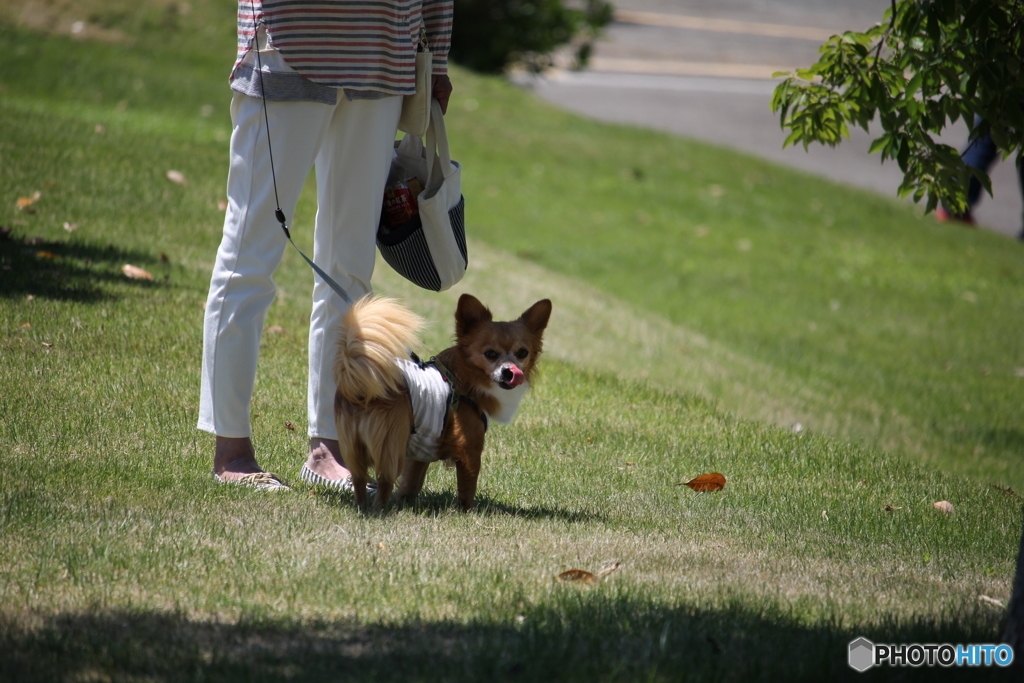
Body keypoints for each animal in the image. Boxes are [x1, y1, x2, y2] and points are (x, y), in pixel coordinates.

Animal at [333, 290, 552, 509]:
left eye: (522, 353)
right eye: (490, 354)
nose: (510, 371)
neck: (463, 378)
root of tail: (361, 387)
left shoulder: (423, 447)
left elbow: (412, 482)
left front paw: (404, 501)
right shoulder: (469, 450)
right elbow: (467, 488)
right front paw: (466, 512)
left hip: (353, 449)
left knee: (359, 479)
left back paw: (362, 507)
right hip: (392, 447)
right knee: (385, 482)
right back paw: (380, 510)